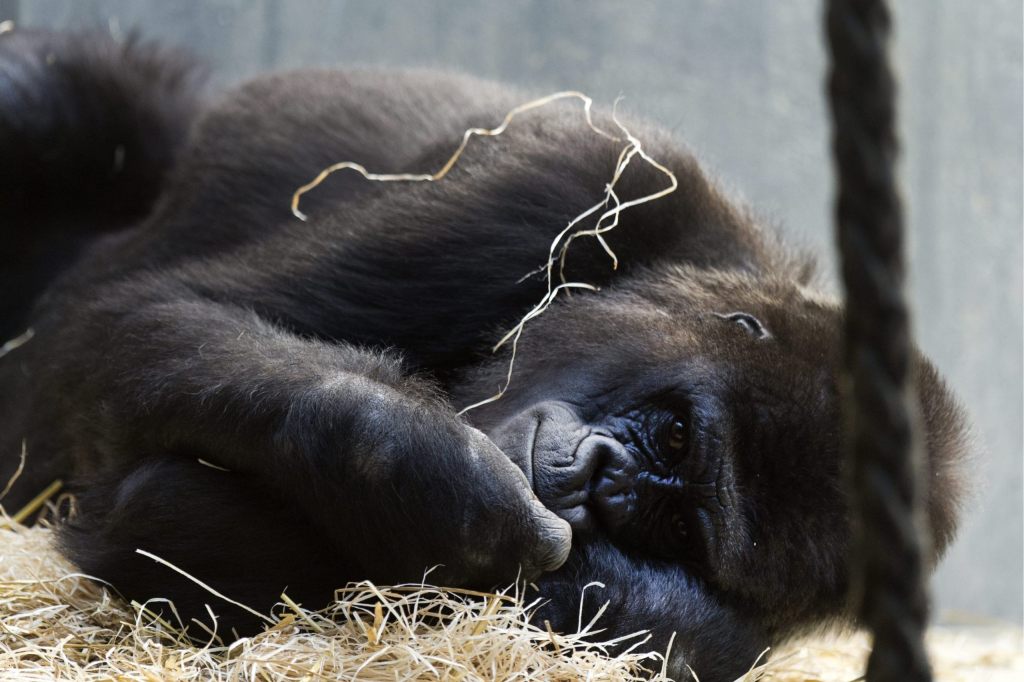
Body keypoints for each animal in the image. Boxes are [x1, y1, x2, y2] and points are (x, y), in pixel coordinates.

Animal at [0, 29, 966, 675]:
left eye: (679, 528)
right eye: (676, 438)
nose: (602, 480)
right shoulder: (571, 173)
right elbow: (149, 317)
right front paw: (439, 485)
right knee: (47, 97)